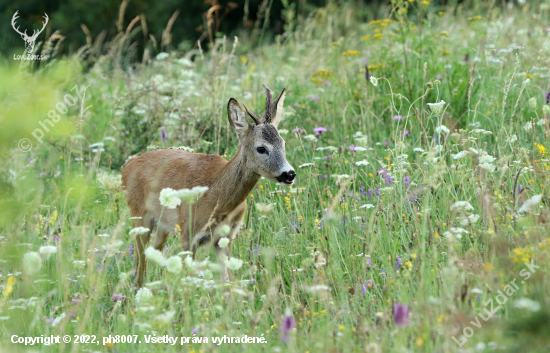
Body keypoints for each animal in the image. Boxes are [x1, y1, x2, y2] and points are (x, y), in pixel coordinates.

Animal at [122, 84, 296, 288]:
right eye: (261, 148)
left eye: (283, 143)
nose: (289, 174)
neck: (217, 195)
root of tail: (127, 167)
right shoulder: (187, 233)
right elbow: (187, 281)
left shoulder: (226, 237)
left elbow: (228, 282)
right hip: (139, 217)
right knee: (140, 266)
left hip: (161, 227)